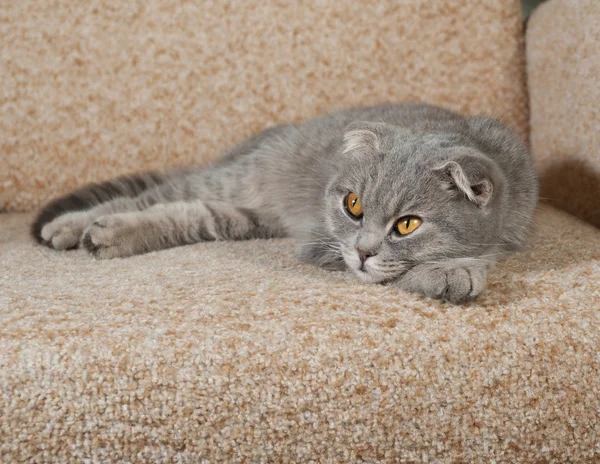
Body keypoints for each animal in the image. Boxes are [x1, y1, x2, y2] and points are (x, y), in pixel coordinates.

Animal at [31, 103, 540, 302]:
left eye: (407, 224)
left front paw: (459, 265)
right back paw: (72, 225)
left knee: (185, 214)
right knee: (150, 196)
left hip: (245, 214)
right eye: (353, 206)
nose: (363, 250)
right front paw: (448, 273)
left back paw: (112, 234)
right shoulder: (323, 243)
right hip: (232, 180)